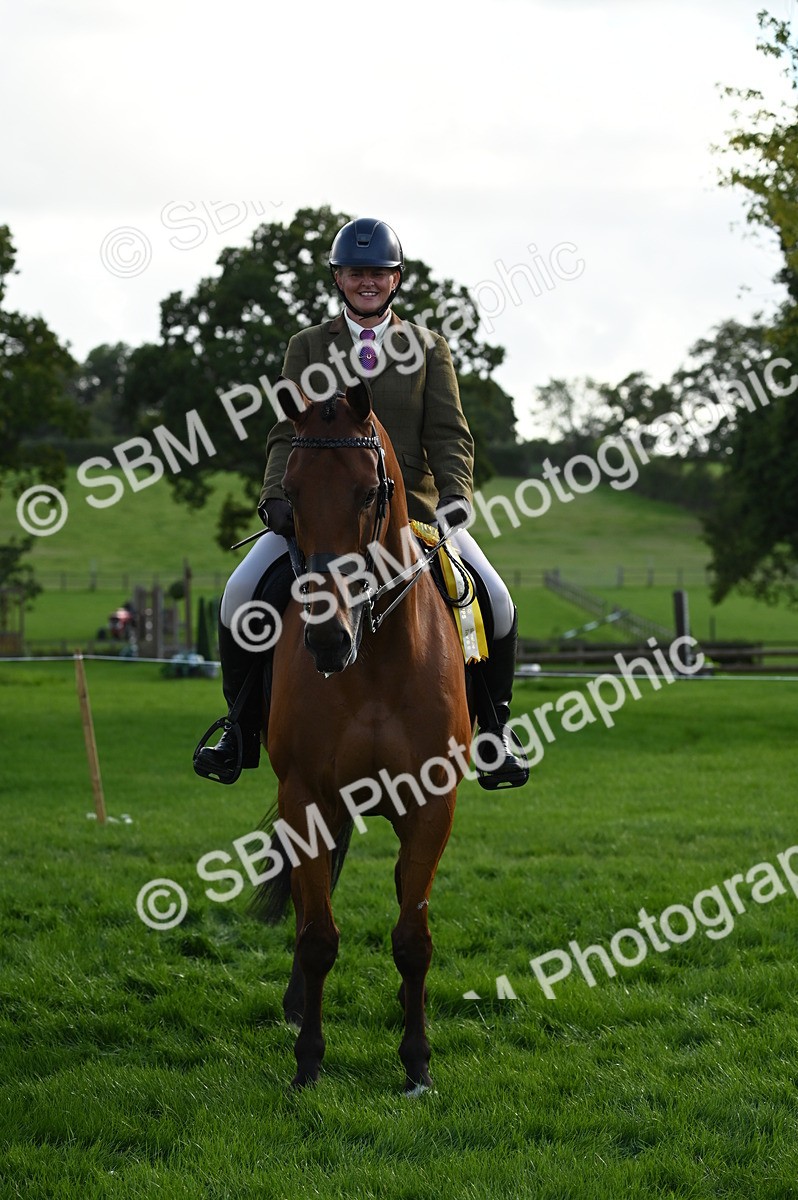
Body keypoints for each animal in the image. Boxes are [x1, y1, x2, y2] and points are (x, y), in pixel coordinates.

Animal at [252, 378, 472, 1093]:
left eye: (369, 493)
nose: (327, 637)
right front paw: (309, 1061)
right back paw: (297, 1005)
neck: (372, 657)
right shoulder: (306, 798)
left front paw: (417, 1062)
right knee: (307, 908)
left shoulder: (432, 803)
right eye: (290, 494)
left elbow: (413, 938)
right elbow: (319, 934)